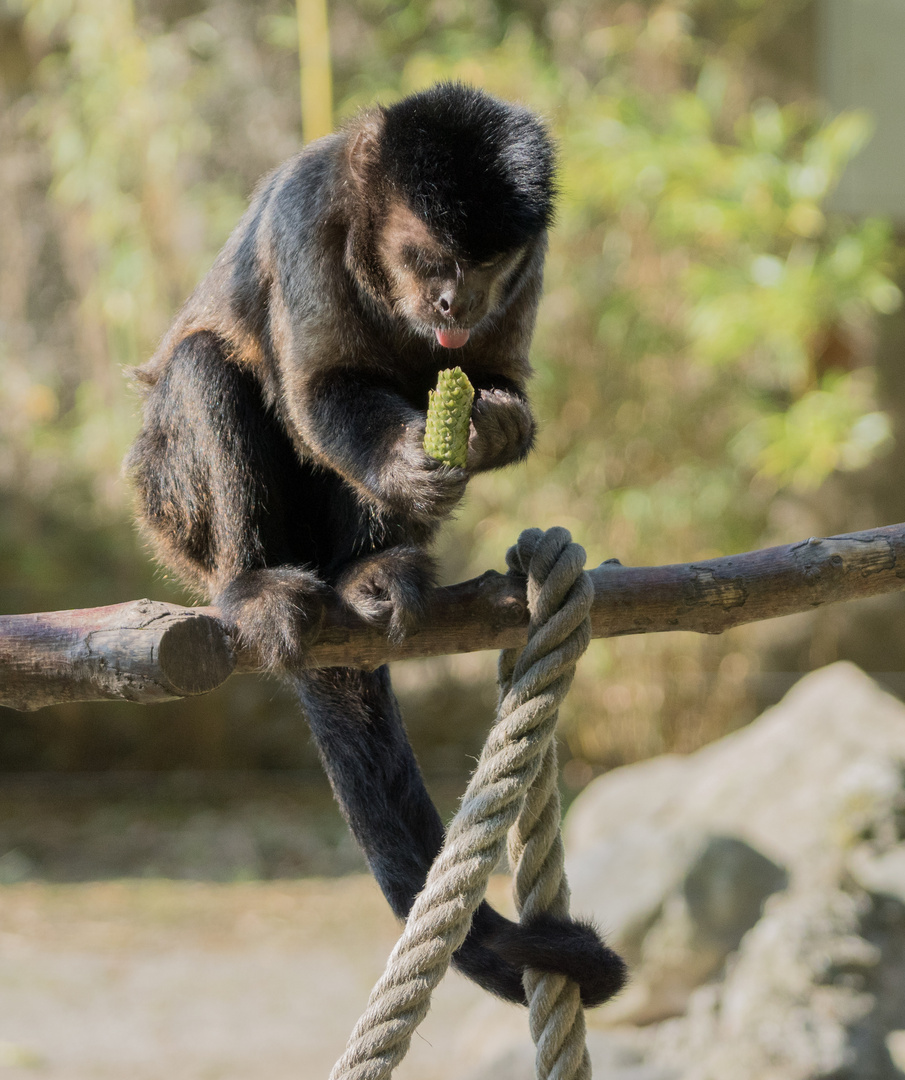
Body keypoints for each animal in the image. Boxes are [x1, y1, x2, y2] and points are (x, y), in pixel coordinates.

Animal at [127, 79, 626, 1006]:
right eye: (429, 258)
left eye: (485, 268)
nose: (454, 305)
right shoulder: (309, 217)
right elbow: (320, 386)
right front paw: (401, 457)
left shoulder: (531, 258)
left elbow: (486, 383)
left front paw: (491, 423)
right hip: (166, 510)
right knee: (208, 367)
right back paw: (252, 585)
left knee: (409, 378)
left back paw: (371, 573)